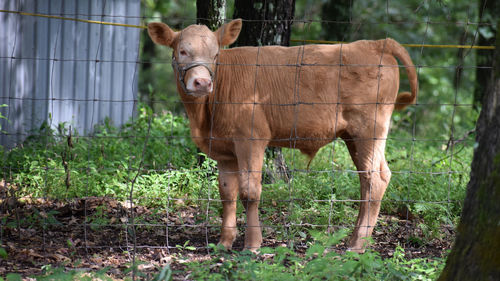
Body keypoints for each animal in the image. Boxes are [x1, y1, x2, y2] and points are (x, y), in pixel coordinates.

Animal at [147, 19, 418, 252]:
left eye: (215, 55)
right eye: (182, 51)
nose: (202, 83)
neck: (205, 116)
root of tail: (374, 43)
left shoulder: (251, 139)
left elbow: (249, 192)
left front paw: (252, 244)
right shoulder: (224, 150)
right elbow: (227, 193)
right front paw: (224, 243)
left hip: (370, 130)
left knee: (376, 178)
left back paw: (357, 244)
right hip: (353, 136)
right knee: (367, 180)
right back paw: (354, 239)